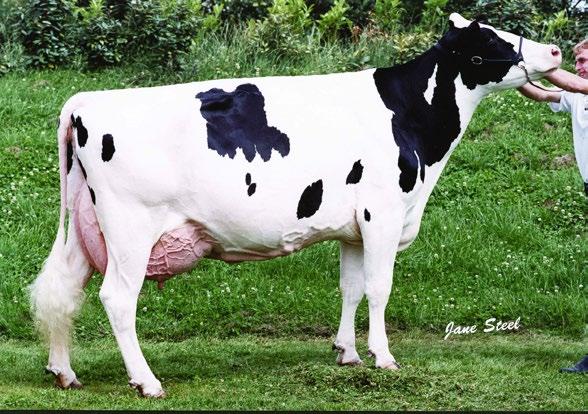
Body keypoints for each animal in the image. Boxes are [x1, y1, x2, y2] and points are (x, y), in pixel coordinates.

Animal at [30, 13, 561, 397]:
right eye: (491, 41)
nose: (556, 50)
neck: (409, 117)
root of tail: (85, 100)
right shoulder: (384, 214)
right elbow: (379, 288)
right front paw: (384, 358)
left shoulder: (353, 227)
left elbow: (351, 289)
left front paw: (347, 353)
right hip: (130, 229)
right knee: (117, 299)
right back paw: (147, 382)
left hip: (87, 226)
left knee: (65, 290)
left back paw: (64, 373)